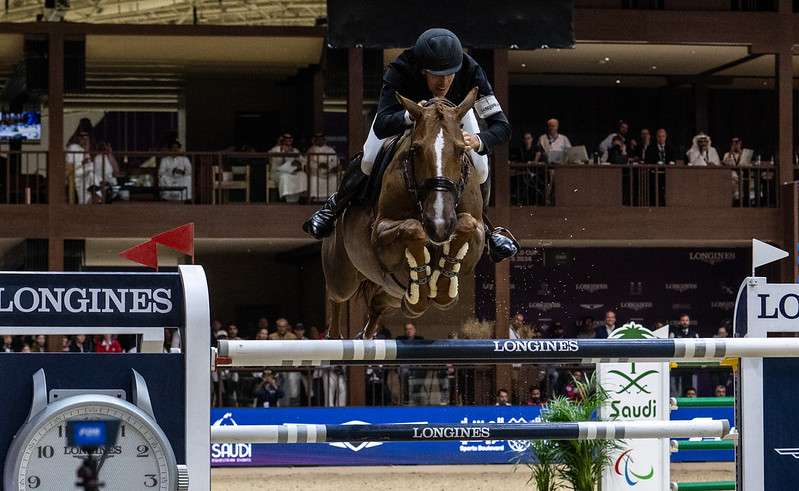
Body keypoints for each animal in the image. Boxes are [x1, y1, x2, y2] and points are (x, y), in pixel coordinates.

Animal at [322, 88, 484, 340]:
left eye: (460, 150)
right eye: (416, 150)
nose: (439, 224)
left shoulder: (477, 234)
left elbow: (466, 225)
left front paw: (442, 289)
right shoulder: (379, 233)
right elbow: (412, 228)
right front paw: (425, 284)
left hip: (391, 292)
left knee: (379, 303)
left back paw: (372, 330)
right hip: (343, 275)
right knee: (337, 296)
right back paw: (336, 336)